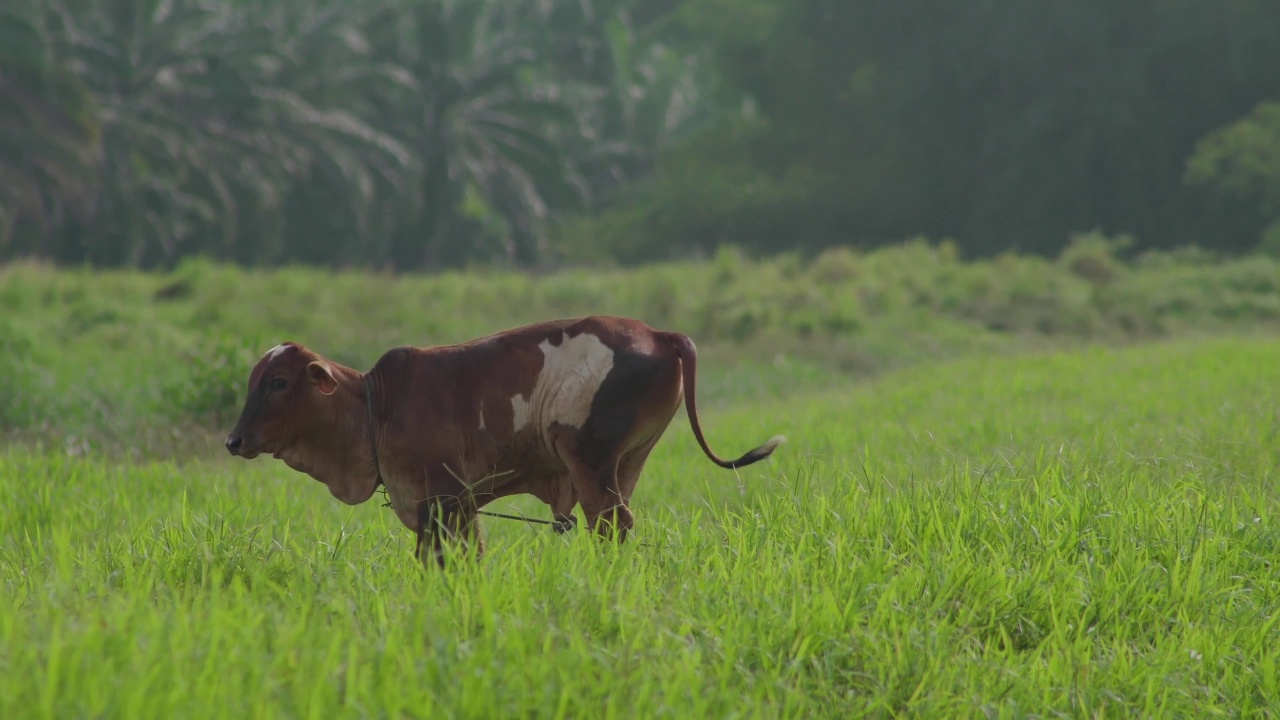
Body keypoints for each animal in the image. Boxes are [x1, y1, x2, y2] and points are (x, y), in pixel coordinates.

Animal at [225, 316, 783, 563]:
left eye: (278, 382)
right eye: (255, 378)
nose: (234, 440)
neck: (372, 407)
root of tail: (662, 334)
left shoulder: (439, 500)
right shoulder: (459, 505)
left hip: (588, 459)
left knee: (609, 524)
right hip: (627, 463)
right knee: (620, 522)